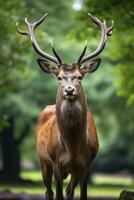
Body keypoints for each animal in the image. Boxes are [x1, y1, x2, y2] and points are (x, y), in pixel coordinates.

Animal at [16, 12, 113, 200]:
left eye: (79, 77)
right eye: (59, 77)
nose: (69, 90)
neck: (72, 147)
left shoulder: (86, 165)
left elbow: (81, 194)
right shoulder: (56, 163)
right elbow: (58, 193)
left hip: (72, 172)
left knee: (69, 191)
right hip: (43, 162)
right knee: (49, 191)